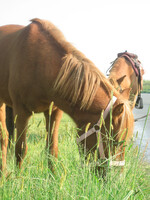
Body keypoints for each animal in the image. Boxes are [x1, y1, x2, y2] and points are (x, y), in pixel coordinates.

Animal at [0, 18, 134, 173]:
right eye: (115, 141)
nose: (116, 176)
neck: (41, 63)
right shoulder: (22, 112)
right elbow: (20, 150)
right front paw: (18, 178)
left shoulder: (54, 112)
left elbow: (52, 149)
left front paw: (53, 177)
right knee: (4, 137)